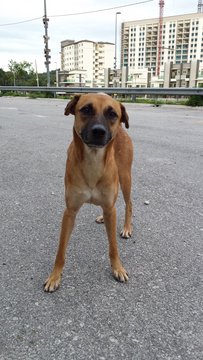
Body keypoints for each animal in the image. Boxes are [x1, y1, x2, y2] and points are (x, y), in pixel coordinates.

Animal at [44, 93, 133, 292]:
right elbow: (61, 250)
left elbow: (113, 246)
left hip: (125, 178)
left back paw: (126, 228)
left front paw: (118, 268)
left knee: (128, 204)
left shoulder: (110, 204)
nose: (99, 131)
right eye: (85, 109)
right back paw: (103, 218)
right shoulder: (70, 212)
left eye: (112, 114)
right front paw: (54, 276)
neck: (93, 160)